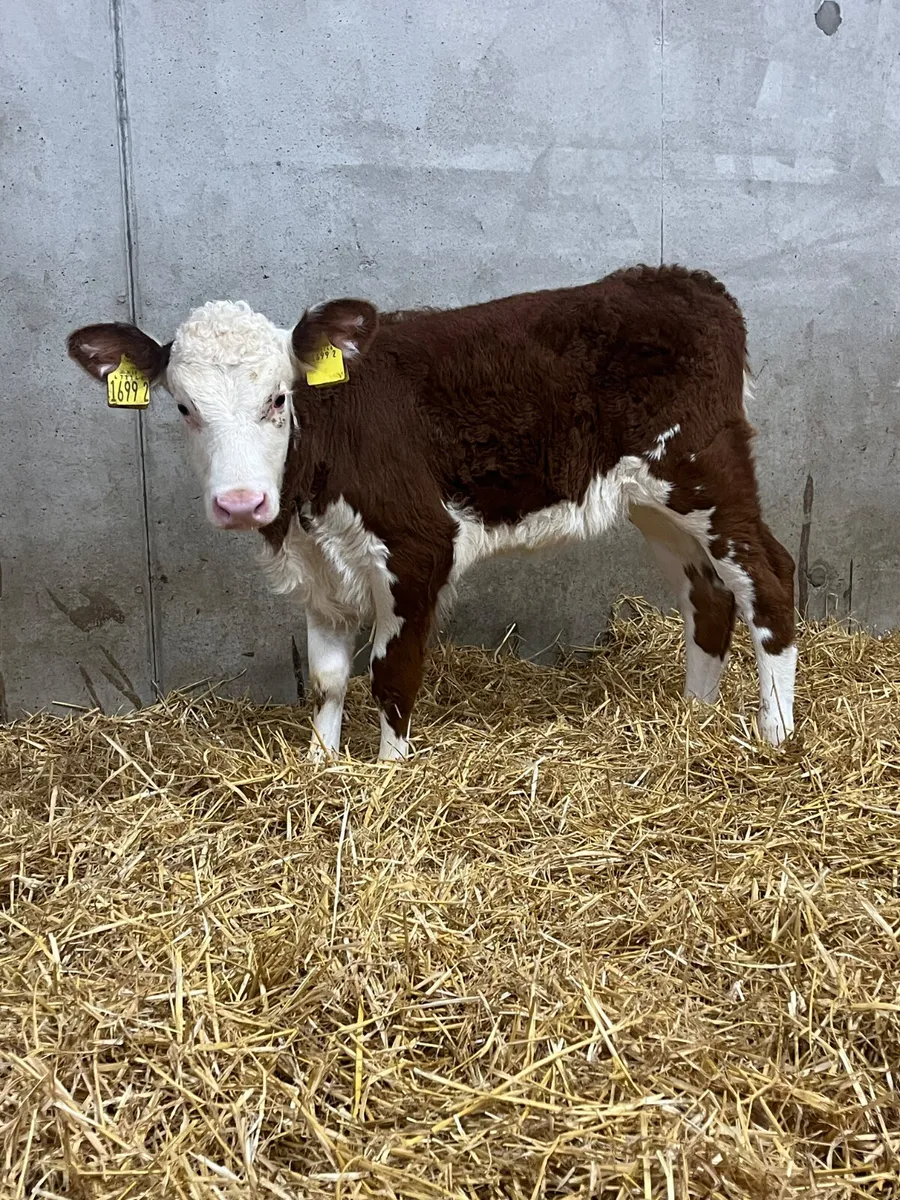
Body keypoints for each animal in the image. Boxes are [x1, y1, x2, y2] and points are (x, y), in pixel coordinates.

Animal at [67, 265, 797, 761]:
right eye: (184, 407)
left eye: (279, 398)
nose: (241, 502)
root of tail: (685, 281)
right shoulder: (318, 564)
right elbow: (328, 679)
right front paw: (320, 765)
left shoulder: (418, 545)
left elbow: (392, 673)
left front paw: (389, 772)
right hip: (654, 500)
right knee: (707, 596)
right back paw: (692, 718)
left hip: (706, 470)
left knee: (768, 578)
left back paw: (777, 736)